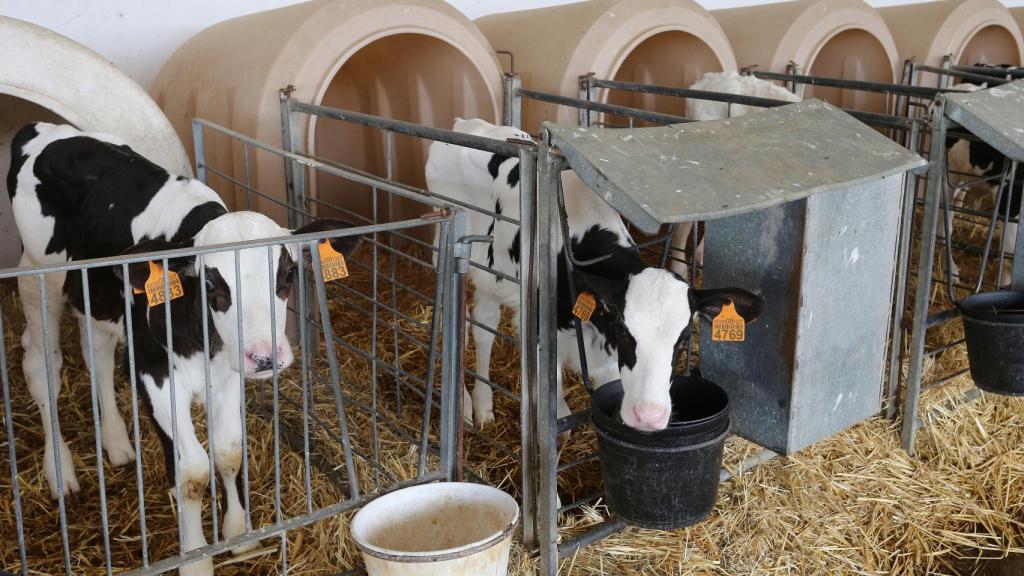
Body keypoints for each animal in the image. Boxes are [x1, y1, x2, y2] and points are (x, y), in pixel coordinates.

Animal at [8, 122, 359, 576]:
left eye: (287, 275)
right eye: (211, 283)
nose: (266, 356)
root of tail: (42, 129)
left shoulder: (227, 373)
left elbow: (229, 452)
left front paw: (239, 533)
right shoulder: (154, 372)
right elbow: (193, 470)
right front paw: (195, 557)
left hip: (96, 298)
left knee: (97, 356)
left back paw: (117, 444)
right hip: (38, 281)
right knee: (42, 368)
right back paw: (60, 472)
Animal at [425, 118, 764, 431]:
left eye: (683, 338)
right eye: (625, 331)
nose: (649, 416)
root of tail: (466, 123)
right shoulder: (539, 327)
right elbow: (554, 395)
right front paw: (560, 413)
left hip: (493, 277)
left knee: (484, 326)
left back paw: (482, 405)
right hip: (446, 251)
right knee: (451, 322)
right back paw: (462, 403)